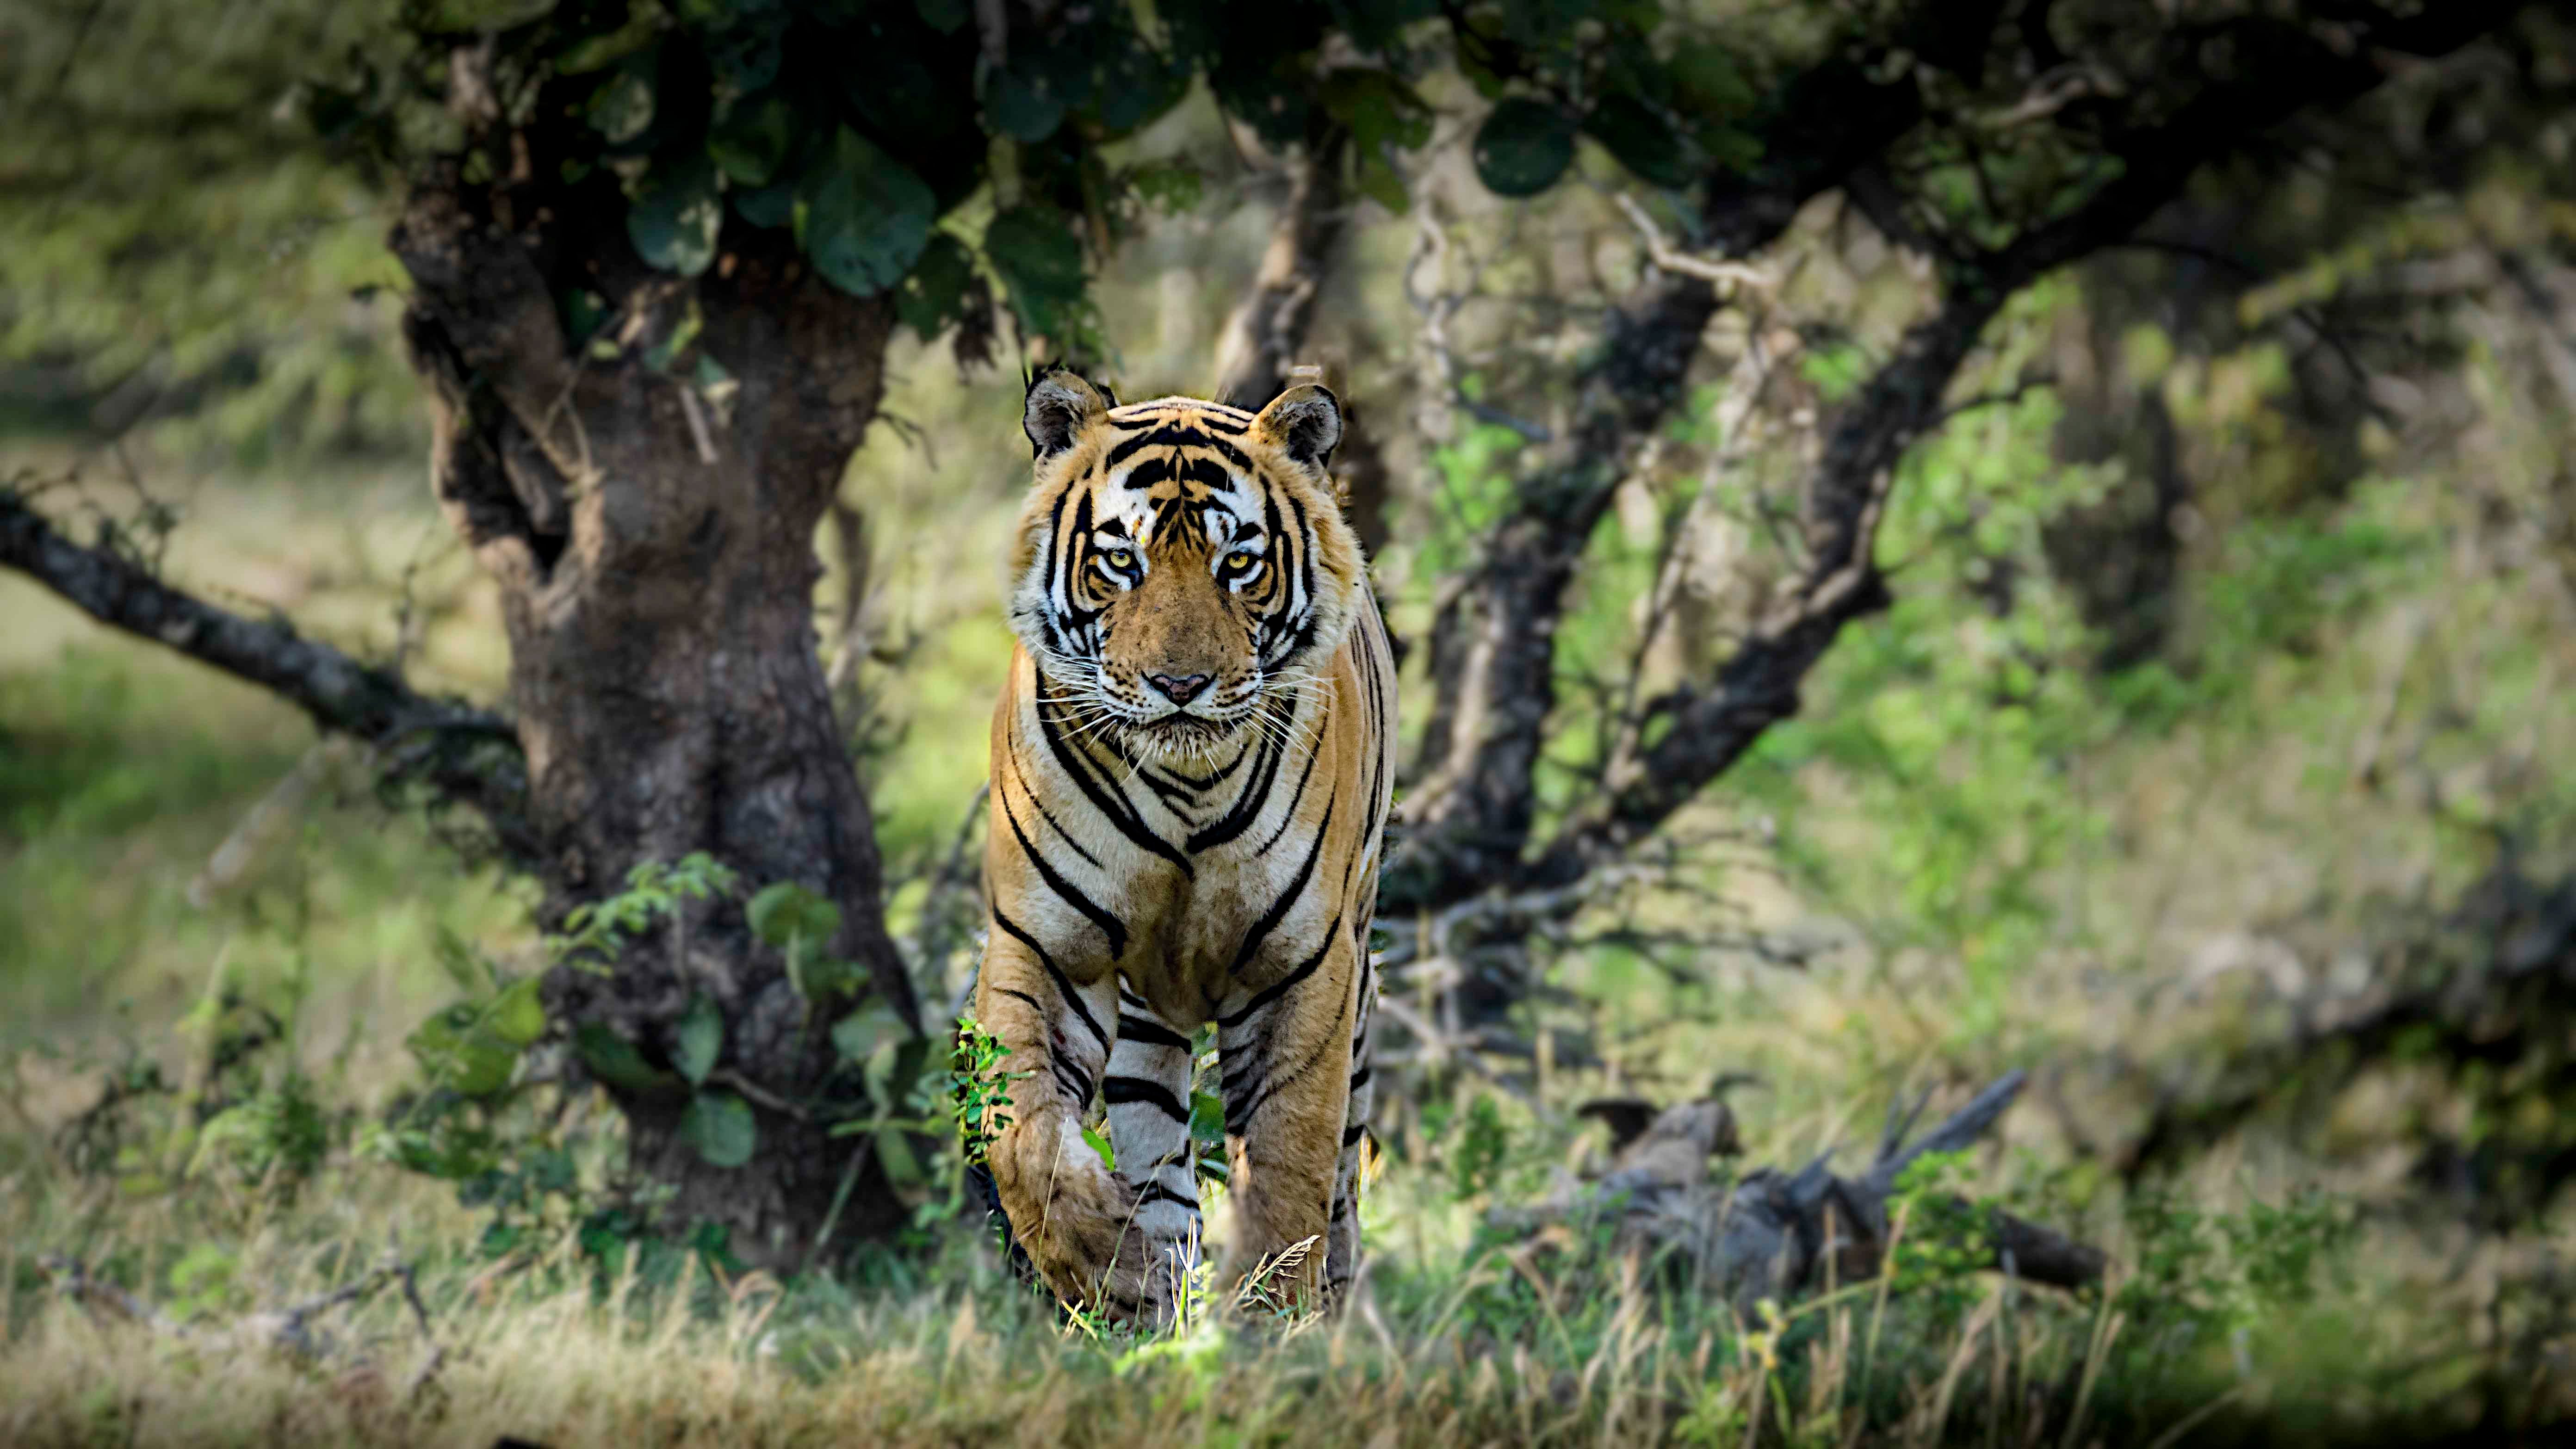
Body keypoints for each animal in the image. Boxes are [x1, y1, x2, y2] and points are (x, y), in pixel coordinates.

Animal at [969, 366, 1397, 1324]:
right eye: (1119, 562)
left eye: (1236, 563)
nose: (1179, 686)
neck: (1184, 792)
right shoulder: (1042, 945)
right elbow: (1020, 1134)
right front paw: (1112, 1262)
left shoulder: (1301, 968)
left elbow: (1290, 1164)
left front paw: (1273, 1323)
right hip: (1142, 1023)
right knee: (1157, 1154)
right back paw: (1155, 1297)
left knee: (1344, 1168)